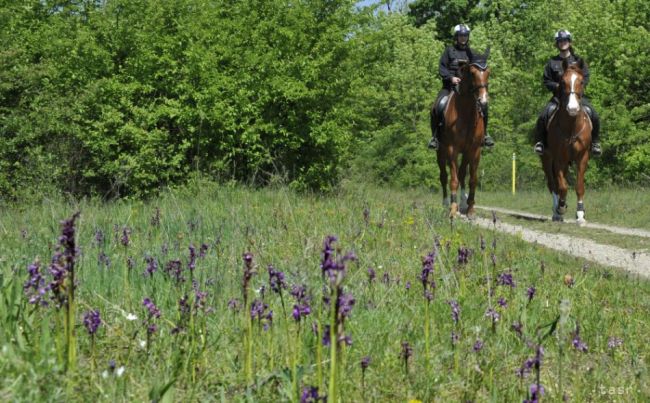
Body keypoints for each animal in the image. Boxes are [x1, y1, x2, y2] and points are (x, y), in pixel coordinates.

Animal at [432, 51, 488, 221]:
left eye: (488, 72)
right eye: (472, 73)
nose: (483, 101)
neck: (466, 113)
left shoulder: (475, 150)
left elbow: (472, 179)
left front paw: (470, 210)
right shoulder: (452, 149)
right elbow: (453, 179)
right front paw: (452, 210)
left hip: (466, 153)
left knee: (463, 173)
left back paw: (463, 202)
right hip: (441, 152)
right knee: (444, 176)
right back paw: (446, 203)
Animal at [540, 58, 588, 226]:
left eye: (581, 81)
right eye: (562, 81)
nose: (572, 108)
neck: (571, 126)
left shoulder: (582, 157)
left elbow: (579, 186)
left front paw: (580, 215)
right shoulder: (559, 159)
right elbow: (562, 186)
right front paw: (561, 208)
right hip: (547, 159)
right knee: (552, 184)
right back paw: (556, 212)